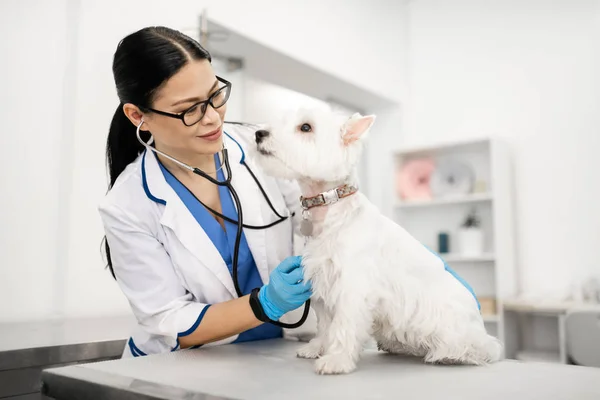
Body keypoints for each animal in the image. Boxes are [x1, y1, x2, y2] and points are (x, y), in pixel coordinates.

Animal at [253, 107, 502, 376]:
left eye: (306, 127)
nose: (258, 133)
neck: (329, 206)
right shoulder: (321, 283)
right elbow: (325, 324)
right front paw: (317, 347)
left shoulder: (352, 286)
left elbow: (343, 325)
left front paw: (337, 359)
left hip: (454, 327)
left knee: (481, 348)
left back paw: (450, 355)